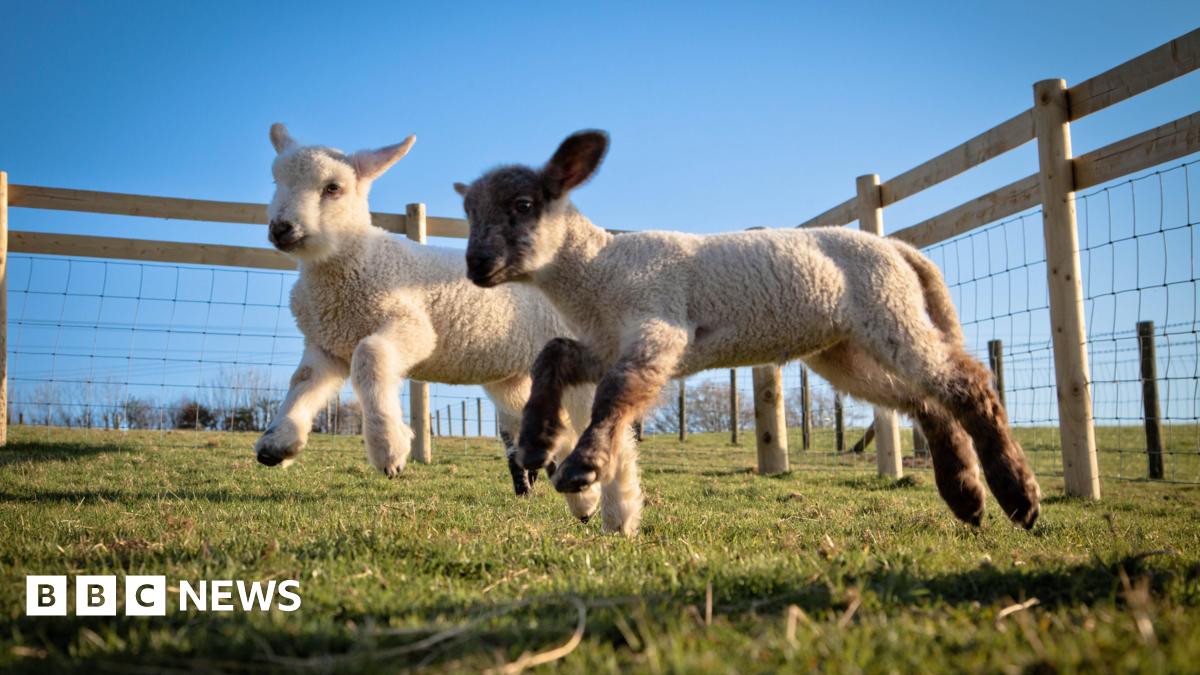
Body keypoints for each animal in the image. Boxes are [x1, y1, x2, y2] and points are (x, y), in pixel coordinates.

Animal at [259, 124, 604, 514]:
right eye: (276, 181)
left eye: (333, 188)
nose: (281, 228)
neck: (356, 263)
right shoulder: (327, 344)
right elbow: (303, 381)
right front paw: (278, 443)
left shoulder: (412, 326)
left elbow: (371, 356)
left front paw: (388, 447)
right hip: (514, 378)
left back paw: (590, 497)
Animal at [453, 130, 1046, 530]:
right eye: (468, 213)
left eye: (523, 205)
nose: (477, 265)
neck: (600, 270)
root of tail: (899, 249)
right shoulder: (605, 342)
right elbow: (552, 356)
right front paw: (535, 442)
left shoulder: (659, 325)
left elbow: (615, 394)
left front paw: (582, 467)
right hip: (842, 348)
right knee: (922, 399)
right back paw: (966, 497)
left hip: (887, 311)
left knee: (966, 383)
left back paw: (1017, 495)